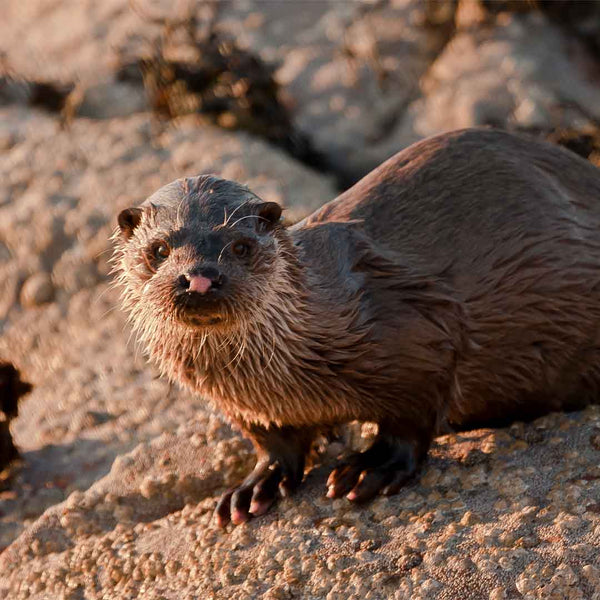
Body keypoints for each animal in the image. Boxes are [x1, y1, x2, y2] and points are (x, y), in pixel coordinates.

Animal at [112, 129, 600, 528]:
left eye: (240, 246)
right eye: (160, 249)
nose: (199, 277)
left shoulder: (419, 332)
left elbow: (411, 417)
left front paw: (371, 467)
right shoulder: (247, 408)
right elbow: (273, 442)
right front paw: (254, 486)